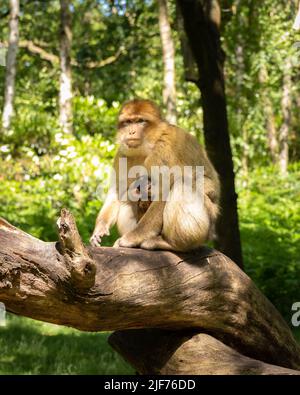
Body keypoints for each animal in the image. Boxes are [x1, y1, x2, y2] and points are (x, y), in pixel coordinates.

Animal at [89, 100, 220, 252]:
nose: (131, 131)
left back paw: (170, 243)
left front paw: (132, 238)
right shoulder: (121, 155)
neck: (149, 145)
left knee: (182, 184)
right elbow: (117, 192)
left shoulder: (165, 150)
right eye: (128, 122)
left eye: (140, 121)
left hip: (205, 227)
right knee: (129, 194)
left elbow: (164, 192)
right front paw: (100, 228)